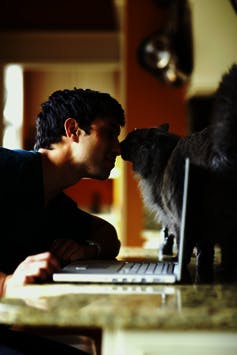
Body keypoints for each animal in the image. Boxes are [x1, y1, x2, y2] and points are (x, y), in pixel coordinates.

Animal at [121, 63, 237, 284]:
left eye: (130, 138)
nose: (119, 143)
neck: (163, 157)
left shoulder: (174, 217)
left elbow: (185, 243)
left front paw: (178, 261)